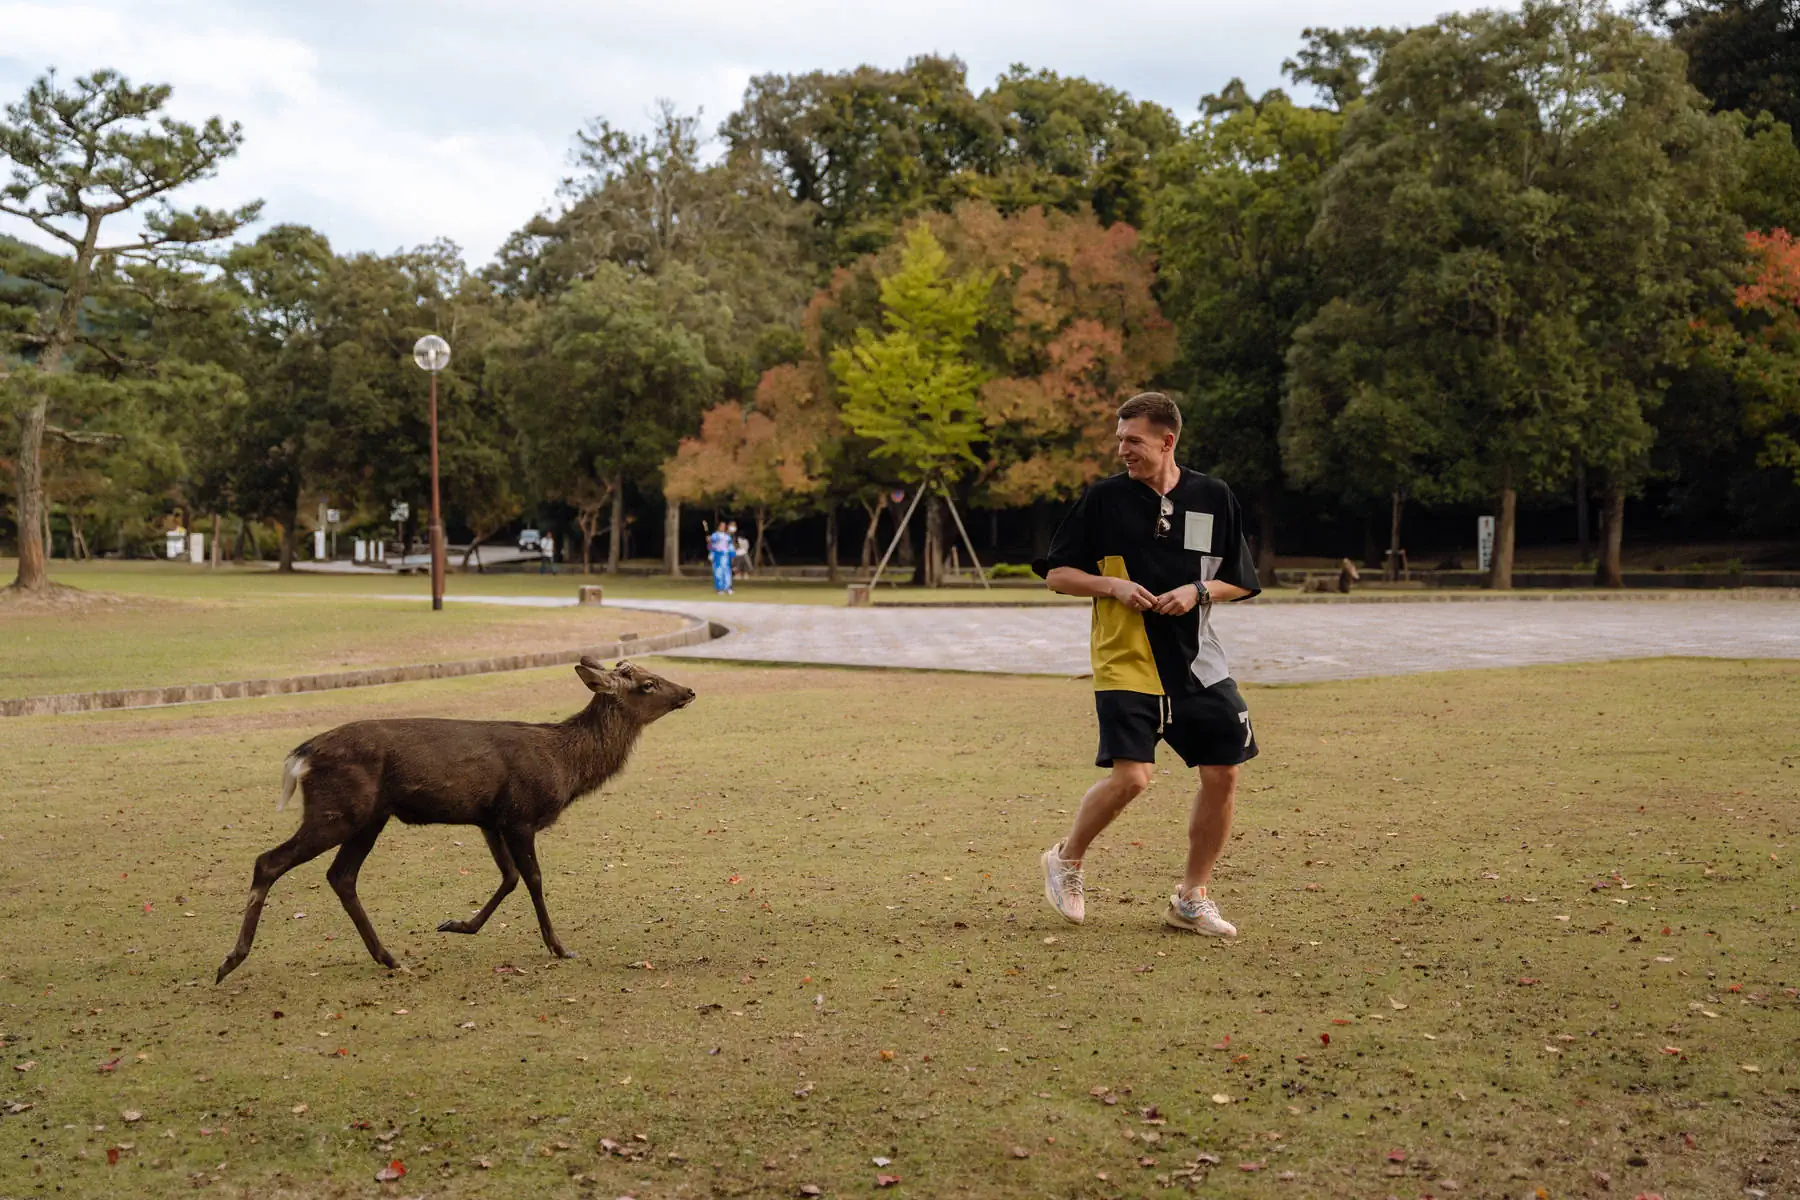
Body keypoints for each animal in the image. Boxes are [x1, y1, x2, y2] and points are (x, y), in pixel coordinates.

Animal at [210, 658, 687, 985]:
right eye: (647, 684)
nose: (688, 690)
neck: (565, 767)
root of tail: (302, 754)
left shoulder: (490, 819)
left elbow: (509, 877)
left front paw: (457, 925)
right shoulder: (520, 813)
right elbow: (532, 877)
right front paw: (559, 947)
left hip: (369, 817)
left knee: (341, 875)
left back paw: (389, 957)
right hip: (338, 810)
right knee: (270, 861)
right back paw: (231, 960)